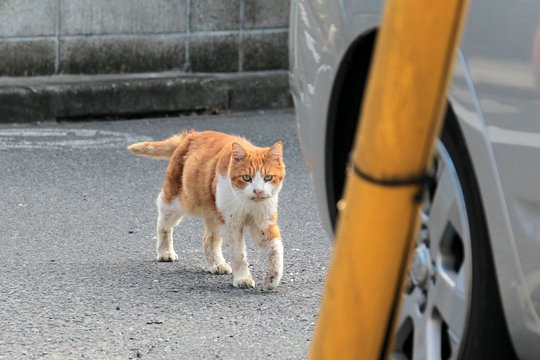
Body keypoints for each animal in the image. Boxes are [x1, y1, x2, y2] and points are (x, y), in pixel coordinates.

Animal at [128, 129, 284, 290]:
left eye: (268, 177)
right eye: (246, 177)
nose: (258, 191)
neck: (248, 203)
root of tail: (192, 134)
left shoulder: (263, 223)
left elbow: (276, 249)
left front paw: (273, 278)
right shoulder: (231, 224)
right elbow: (238, 254)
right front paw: (243, 278)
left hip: (213, 214)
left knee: (209, 239)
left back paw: (217, 264)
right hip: (179, 202)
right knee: (163, 222)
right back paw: (165, 252)